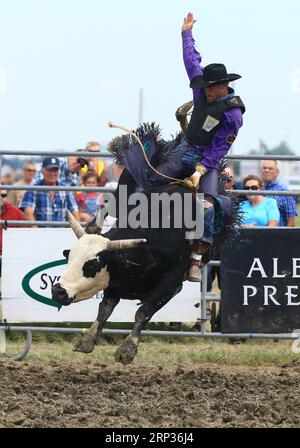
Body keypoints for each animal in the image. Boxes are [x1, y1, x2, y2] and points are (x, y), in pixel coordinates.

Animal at [52, 184, 196, 366]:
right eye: (69, 258)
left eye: (93, 264)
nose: (58, 291)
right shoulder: (114, 282)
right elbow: (104, 309)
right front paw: (87, 340)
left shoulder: (172, 282)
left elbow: (143, 311)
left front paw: (127, 349)